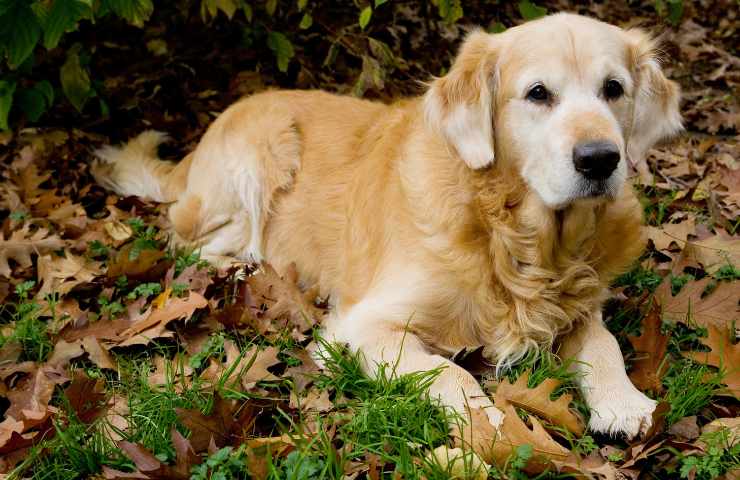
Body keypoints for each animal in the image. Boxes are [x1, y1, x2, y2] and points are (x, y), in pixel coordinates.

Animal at [94, 12, 684, 438]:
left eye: (614, 88)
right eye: (538, 93)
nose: (600, 159)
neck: (514, 236)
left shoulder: (577, 304)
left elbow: (602, 342)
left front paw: (622, 401)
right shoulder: (366, 327)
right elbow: (452, 371)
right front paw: (488, 425)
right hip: (261, 157)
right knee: (195, 244)